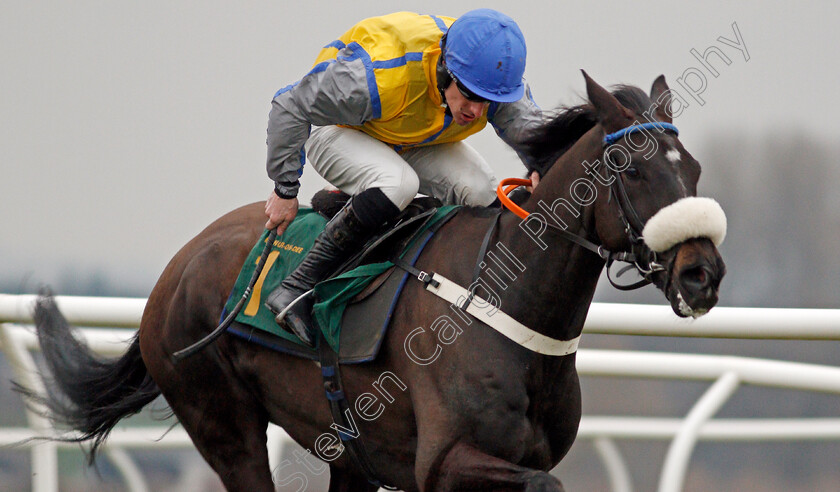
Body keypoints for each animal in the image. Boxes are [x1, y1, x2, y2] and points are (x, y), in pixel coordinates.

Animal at [23, 73, 724, 492]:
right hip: (222, 423)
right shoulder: (444, 463)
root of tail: (176, 268)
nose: (703, 274)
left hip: (345, 449)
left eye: (691, 168)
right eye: (631, 170)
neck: (508, 311)